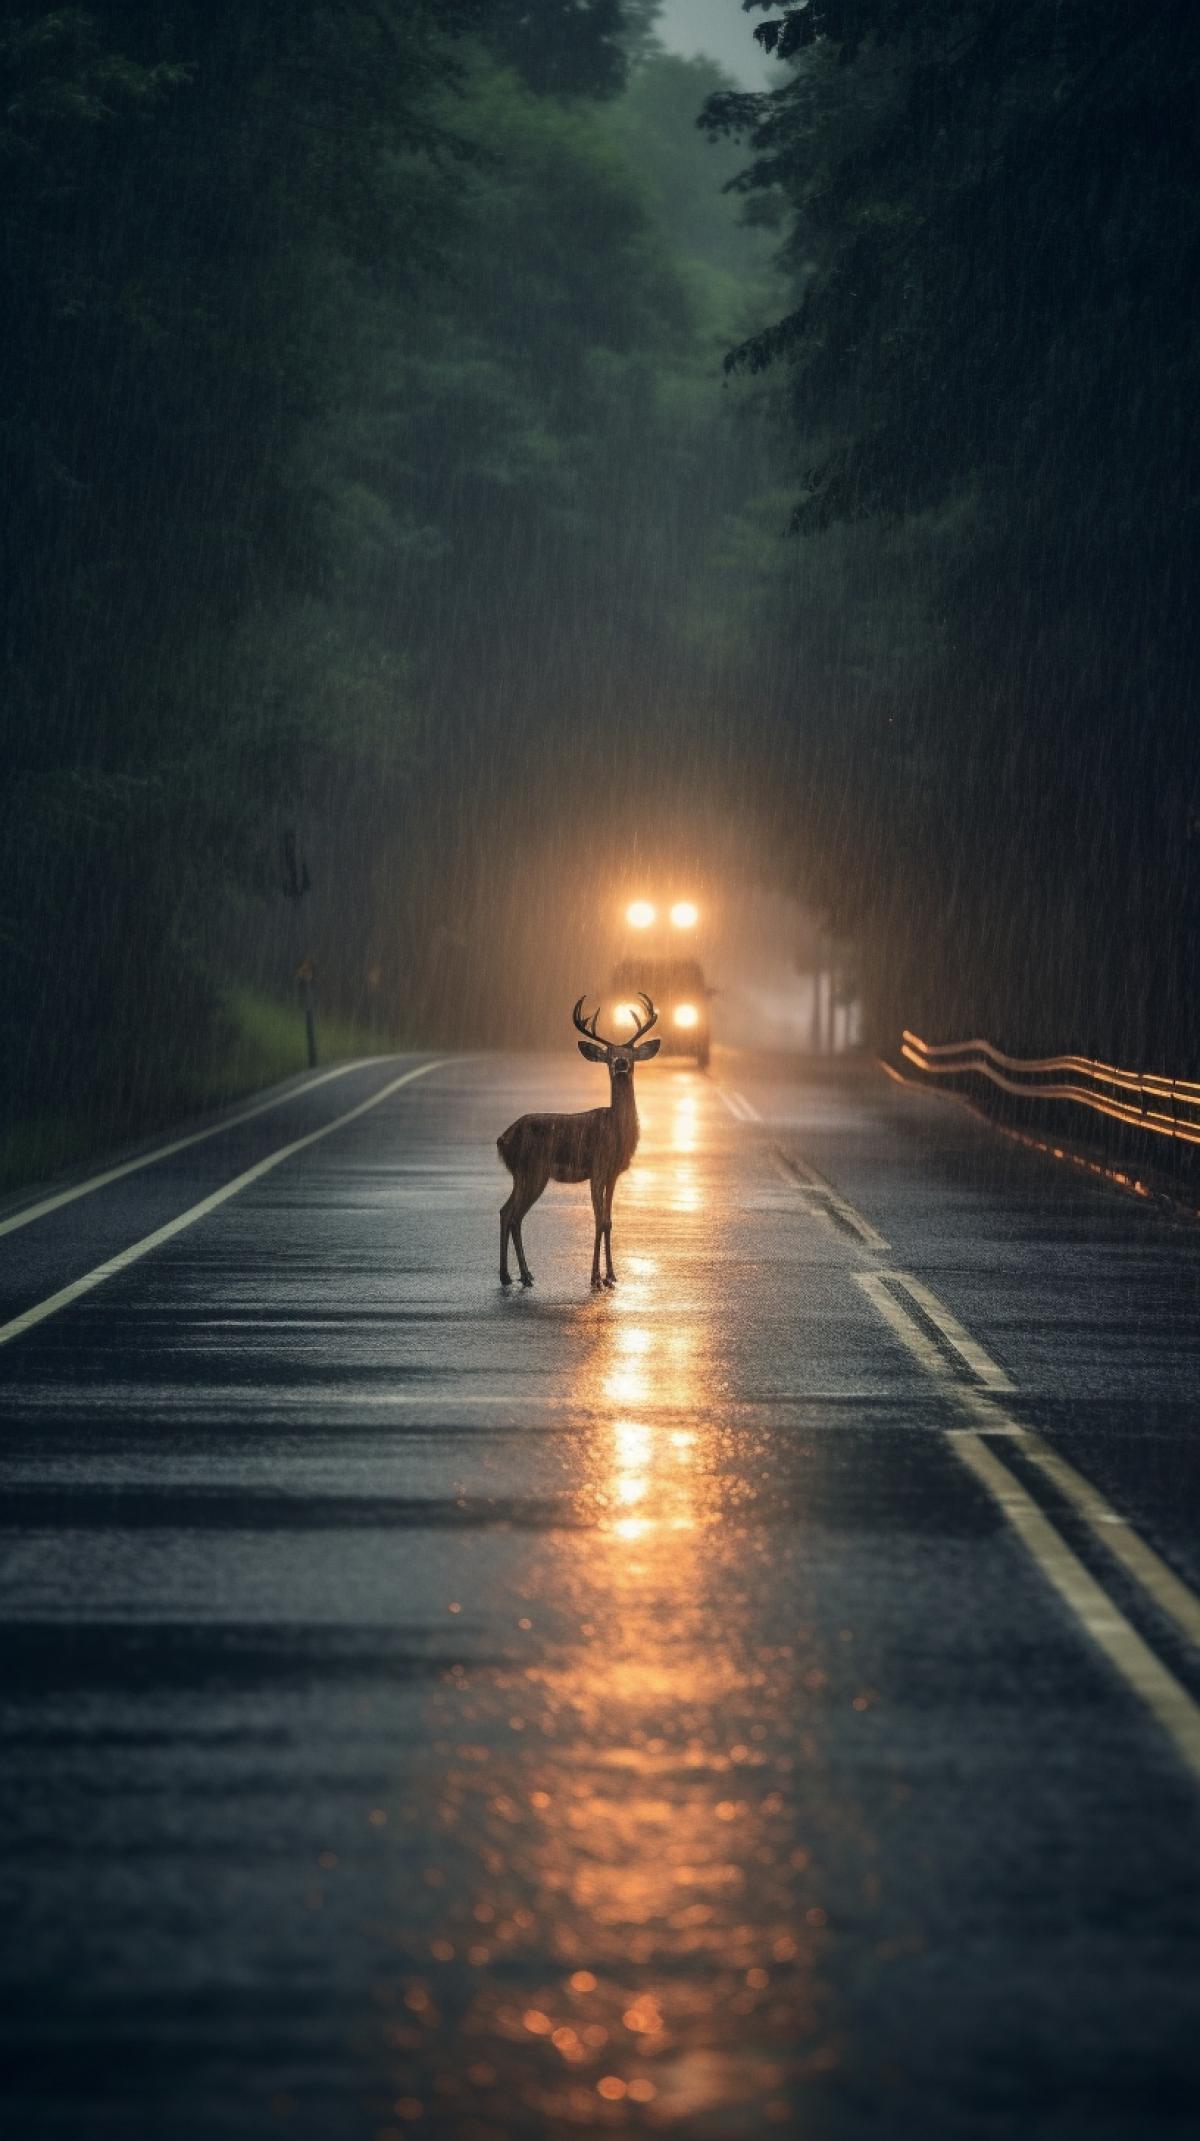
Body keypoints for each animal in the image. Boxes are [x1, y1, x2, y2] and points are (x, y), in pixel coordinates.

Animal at [497, 994, 660, 1290]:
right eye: (608, 1056)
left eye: (631, 1055)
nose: (621, 1063)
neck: (616, 1134)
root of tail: (502, 1139)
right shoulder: (597, 1169)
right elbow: (598, 1220)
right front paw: (595, 1278)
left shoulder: (613, 1174)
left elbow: (609, 1221)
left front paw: (612, 1276)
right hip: (533, 1170)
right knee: (514, 1215)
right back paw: (523, 1275)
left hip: (521, 1174)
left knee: (506, 1211)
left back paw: (511, 1276)